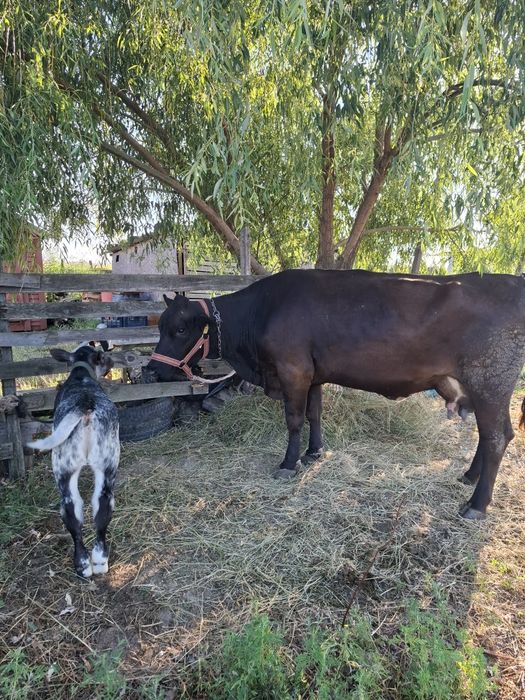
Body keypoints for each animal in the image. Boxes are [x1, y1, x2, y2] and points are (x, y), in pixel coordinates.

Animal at [146, 269, 525, 520]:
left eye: (179, 328)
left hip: (490, 382)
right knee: (487, 434)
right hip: (480, 388)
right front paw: (314, 452)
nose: (151, 370)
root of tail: (509, 280)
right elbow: (314, 413)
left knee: (498, 436)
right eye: (161, 325)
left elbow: (294, 419)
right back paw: (469, 476)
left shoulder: (293, 370)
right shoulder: (313, 375)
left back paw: (476, 504)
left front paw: (288, 463)